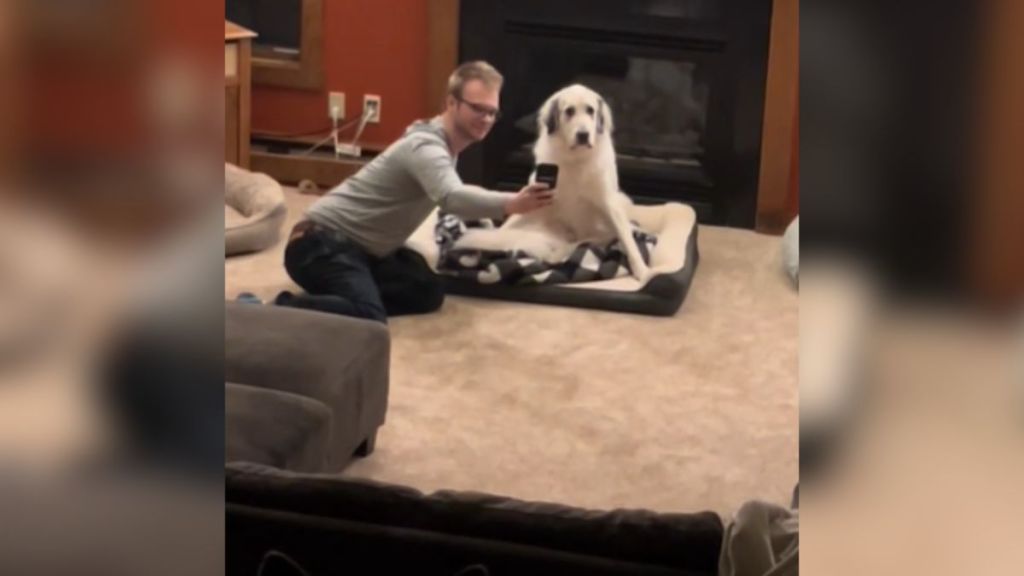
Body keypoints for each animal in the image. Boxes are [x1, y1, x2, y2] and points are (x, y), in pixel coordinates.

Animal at [454, 84, 651, 280]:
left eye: (590, 110)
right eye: (569, 111)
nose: (583, 135)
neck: (576, 159)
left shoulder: (609, 202)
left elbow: (628, 241)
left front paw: (642, 271)